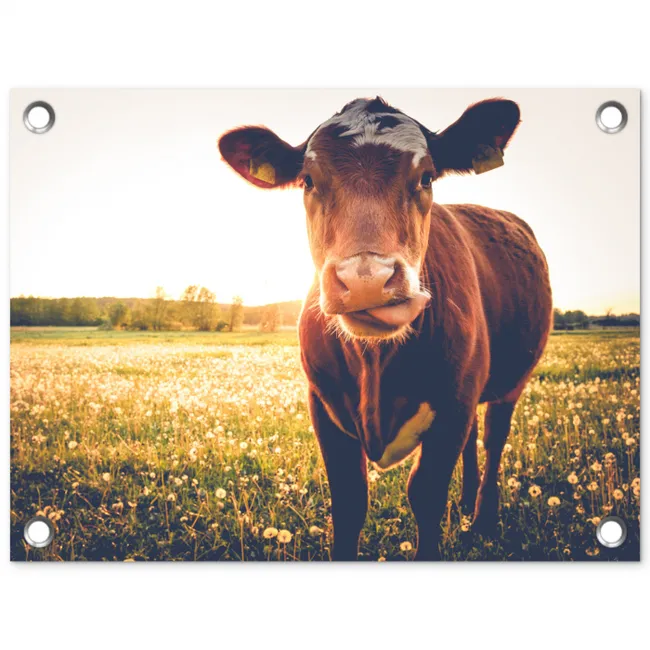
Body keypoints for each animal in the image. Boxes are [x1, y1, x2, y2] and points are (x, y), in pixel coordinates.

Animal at [218, 96, 553, 560]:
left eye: (426, 176)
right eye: (308, 181)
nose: (366, 280)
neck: (375, 364)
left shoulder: (453, 406)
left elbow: (426, 495)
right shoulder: (323, 406)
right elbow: (349, 500)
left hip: (510, 382)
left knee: (493, 438)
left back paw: (483, 517)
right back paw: (466, 503)